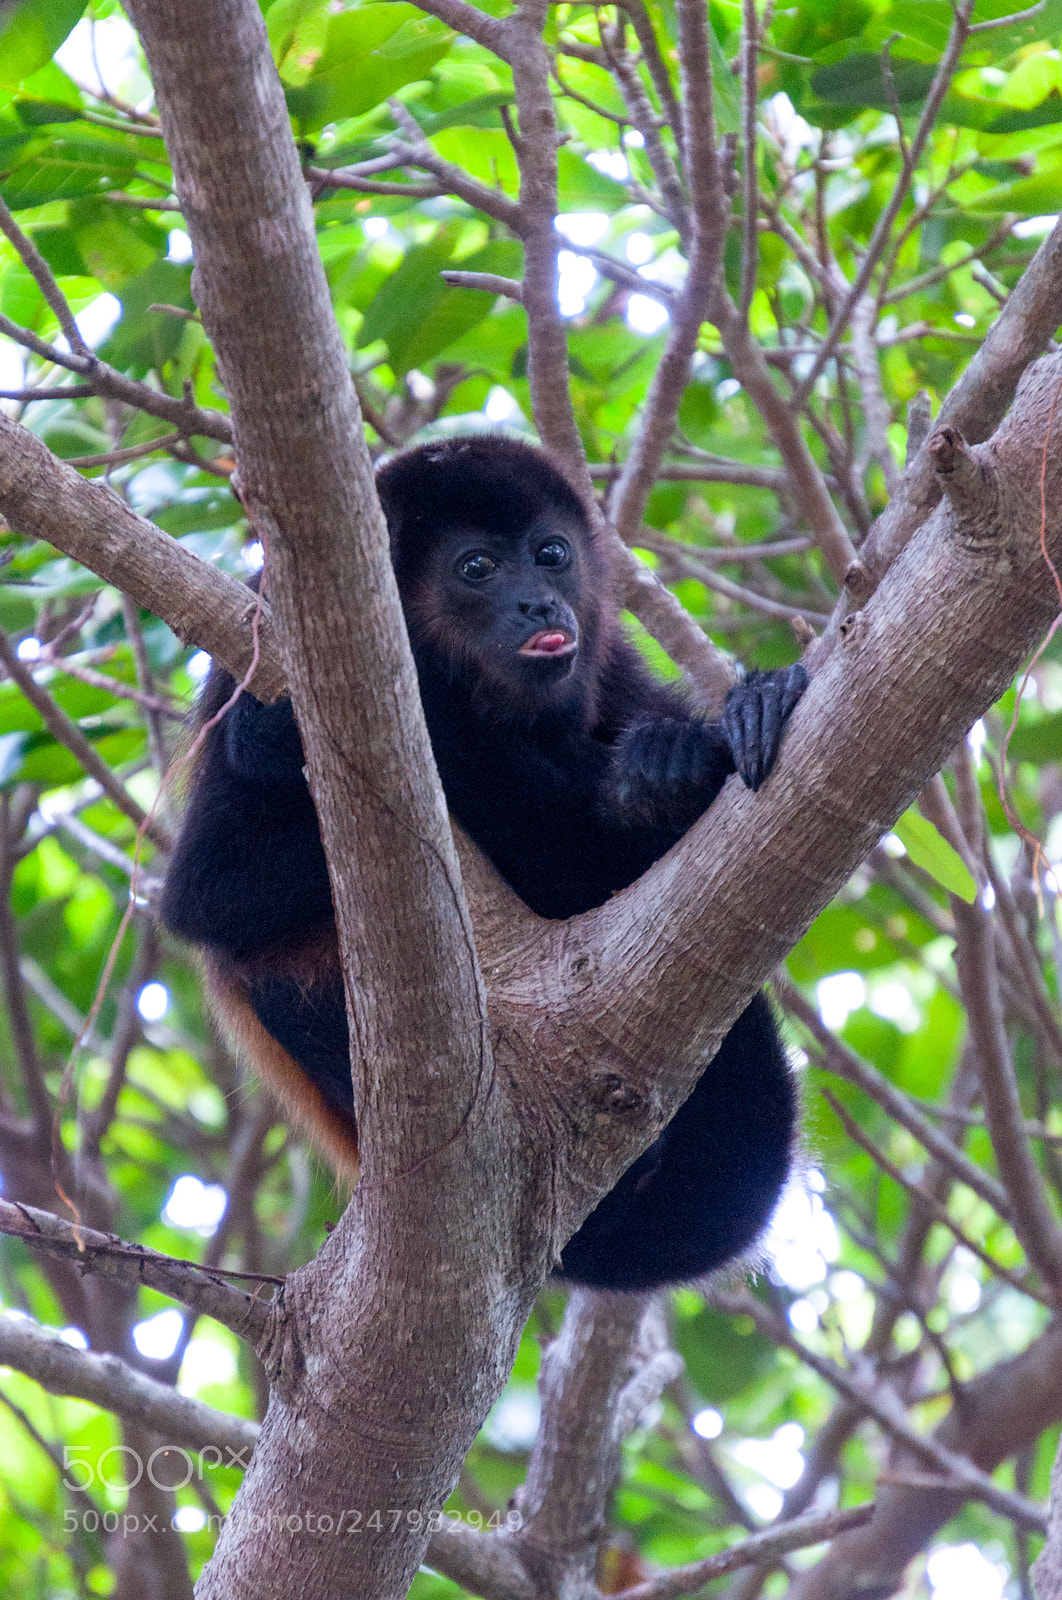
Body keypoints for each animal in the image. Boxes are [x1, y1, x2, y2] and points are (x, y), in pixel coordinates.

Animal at [160, 435, 806, 1292]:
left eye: (551, 554)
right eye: (477, 568)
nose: (540, 605)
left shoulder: (612, 664)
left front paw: (706, 740)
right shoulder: (260, 651)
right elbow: (209, 893)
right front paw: (653, 777)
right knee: (276, 976)